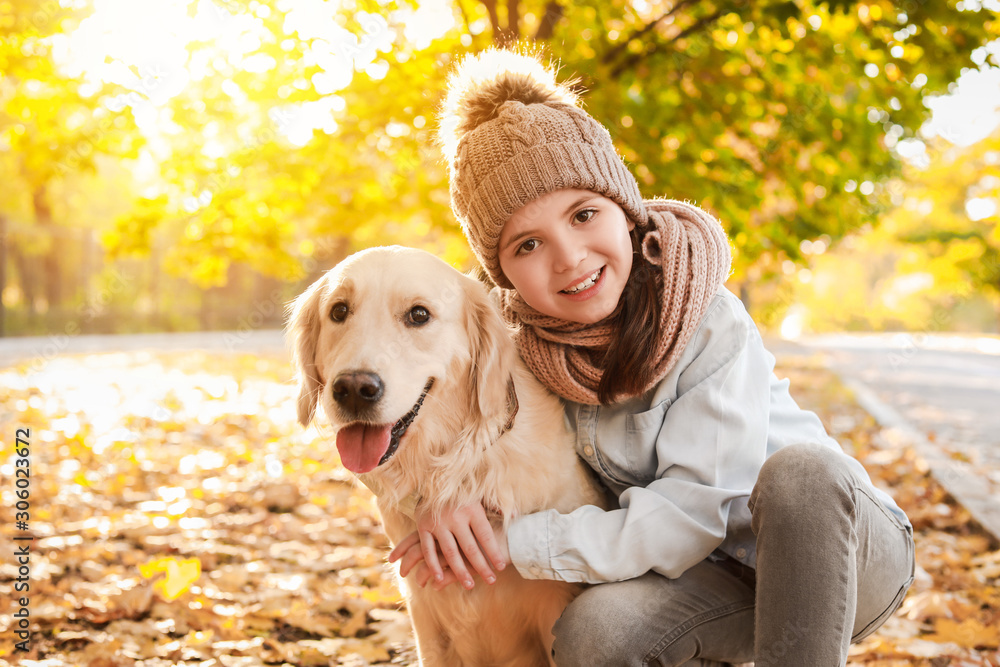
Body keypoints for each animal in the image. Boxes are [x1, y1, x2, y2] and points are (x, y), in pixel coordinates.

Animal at [286, 248, 604, 667]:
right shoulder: (425, 615)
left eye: (419, 315)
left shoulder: (553, 602)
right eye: (338, 311)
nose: (353, 389)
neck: (455, 470)